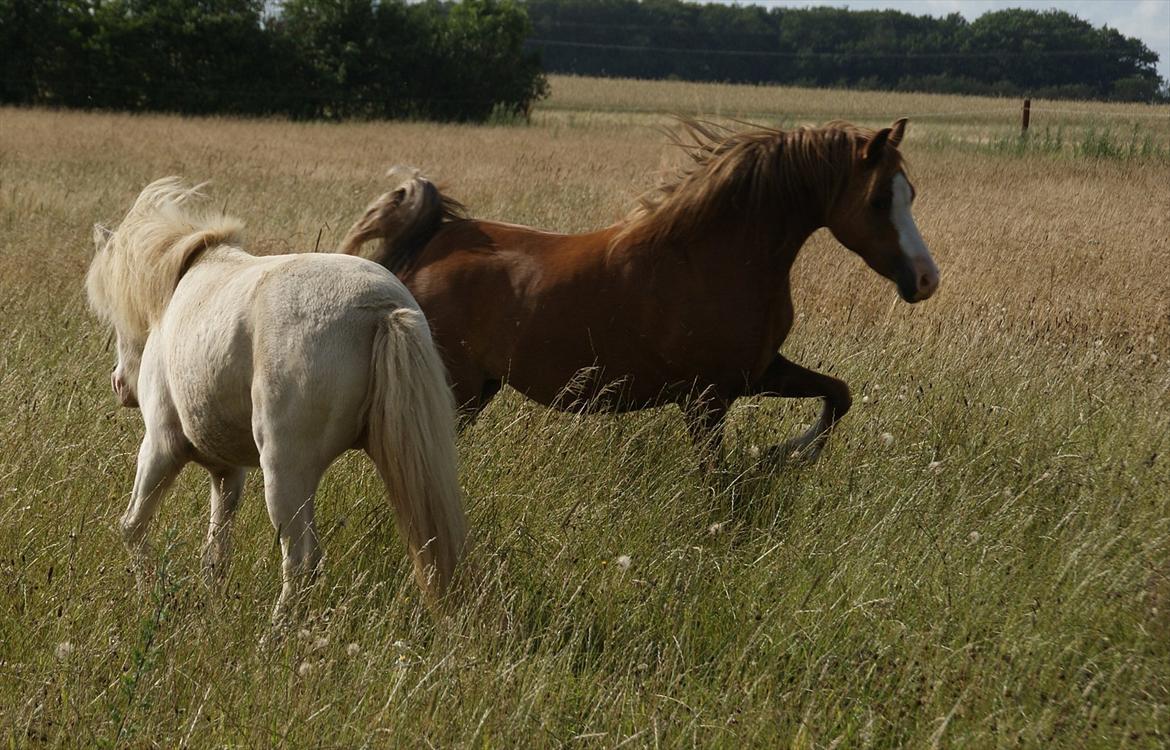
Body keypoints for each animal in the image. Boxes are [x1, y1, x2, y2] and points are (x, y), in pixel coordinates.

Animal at [86, 178, 467, 627]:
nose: (119, 385)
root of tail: (382, 309)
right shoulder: (226, 472)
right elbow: (216, 549)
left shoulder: (161, 445)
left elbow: (133, 525)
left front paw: (151, 597)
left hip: (285, 470)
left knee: (301, 561)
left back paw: (273, 635)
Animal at [340, 118, 939, 464]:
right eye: (880, 199)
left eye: (911, 192)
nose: (926, 279)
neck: (714, 256)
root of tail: (428, 246)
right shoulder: (707, 399)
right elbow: (717, 483)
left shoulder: (759, 373)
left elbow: (839, 395)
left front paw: (782, 453)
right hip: (456, 389)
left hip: (478, 389)